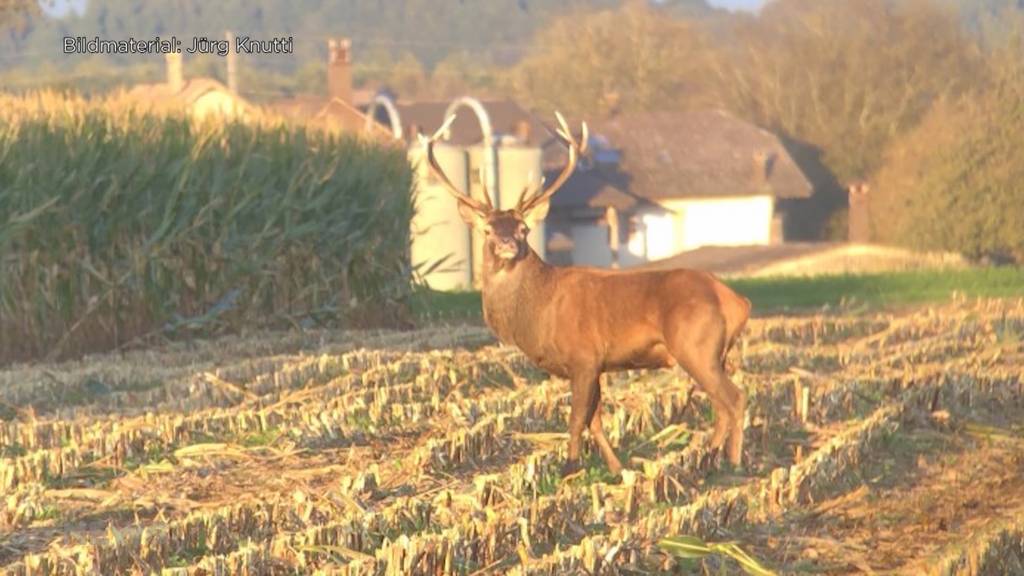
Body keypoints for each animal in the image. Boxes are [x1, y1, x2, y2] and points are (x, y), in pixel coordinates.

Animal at [421, 111, 753, 475]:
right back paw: (707, 459)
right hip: (713, 352)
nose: (508, 244)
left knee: (734, 398)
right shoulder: (594, 365)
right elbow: (595, 421)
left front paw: (569, 467)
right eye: (488, 229)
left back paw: (732, 463)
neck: (537, 312)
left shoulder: (584, 356)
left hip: (696, 345)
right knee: (720, 404)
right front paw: (616, 469)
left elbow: (577, 418)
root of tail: (737, 301)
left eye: (524, 228)